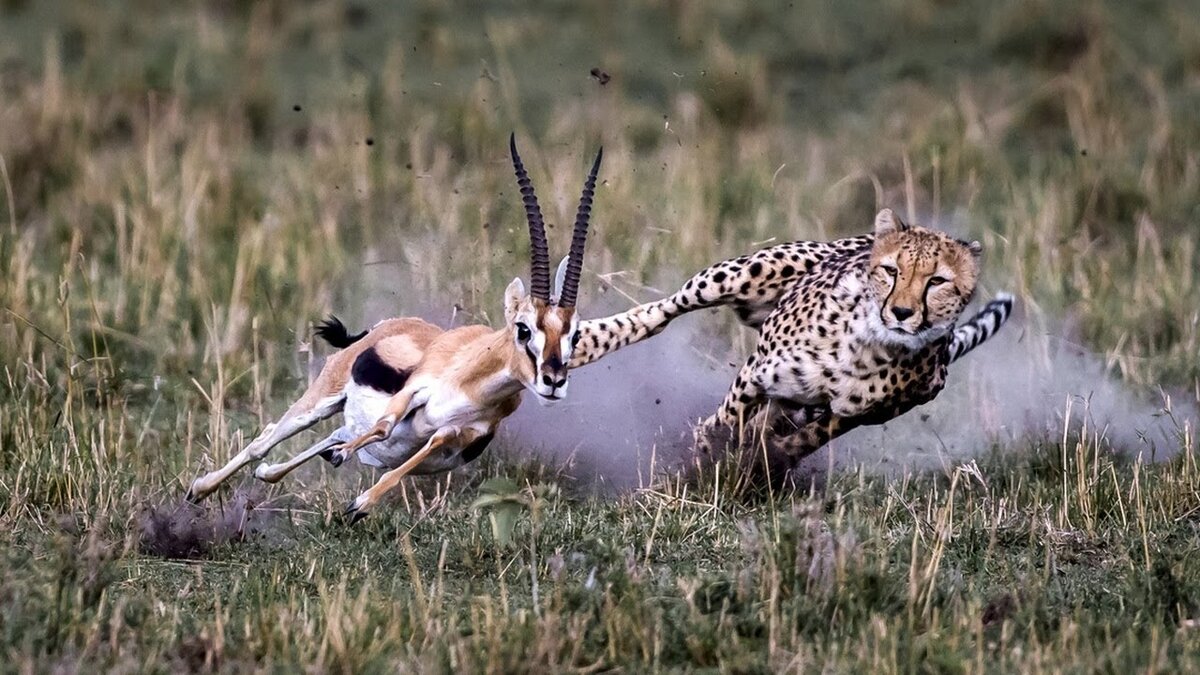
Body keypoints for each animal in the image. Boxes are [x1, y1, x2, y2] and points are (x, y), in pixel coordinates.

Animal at [571, 208, 1012, 468]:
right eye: (892, 271)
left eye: (937, 281)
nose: (901, 313)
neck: (868, 346)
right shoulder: (758, 372)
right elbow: (726, 421)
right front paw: (709, 459)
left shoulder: (853, 412)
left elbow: (806, 436)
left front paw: (760, 464)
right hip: (741, 274)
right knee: (663, 312)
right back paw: (580, 343)